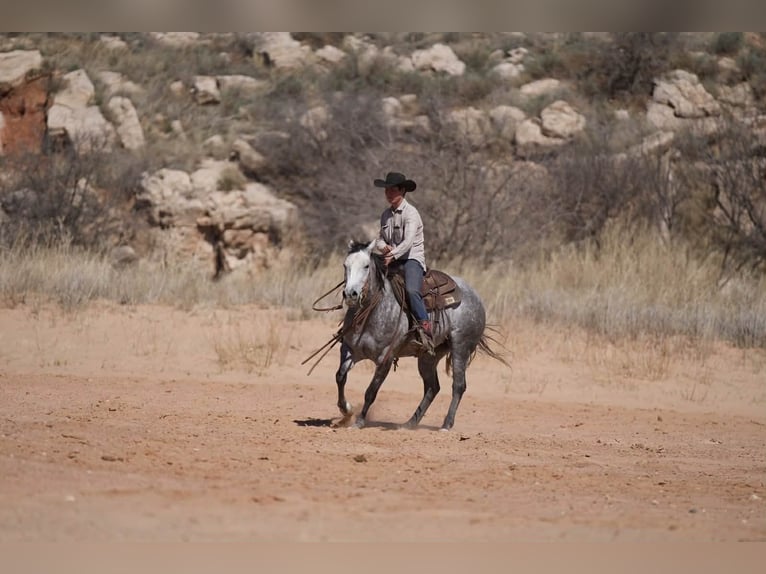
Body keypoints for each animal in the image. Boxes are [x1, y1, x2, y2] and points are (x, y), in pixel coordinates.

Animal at [333, 238, 508, 430]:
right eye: (345, 265)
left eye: (366, 266)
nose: (350, 294)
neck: (373, 311)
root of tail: (477, 298)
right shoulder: (349, 349)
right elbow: (340, 377)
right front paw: (346, 411)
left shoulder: (386, 358)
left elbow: (371, 391)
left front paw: (359, 421)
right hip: (428, 357)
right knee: (432, 387)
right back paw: (410, 423)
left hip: (460, 348)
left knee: (458, 385)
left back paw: (446, 424)